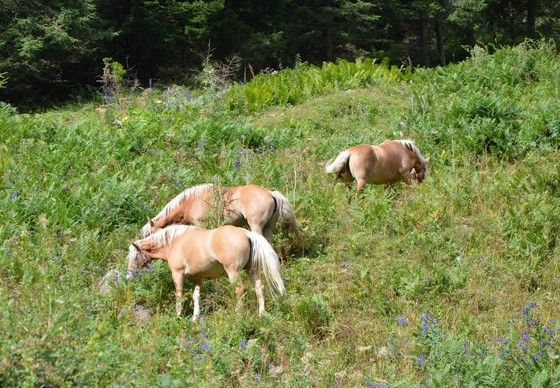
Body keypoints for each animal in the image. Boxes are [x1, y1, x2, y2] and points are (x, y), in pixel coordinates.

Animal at [125, 223, 286, 320]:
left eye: (134, 256)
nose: (128, 275)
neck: (174, 242)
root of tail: (246, 234)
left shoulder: (177, 274)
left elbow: (179, 295)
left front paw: (178, 316)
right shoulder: (198, 278)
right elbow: (196, 296)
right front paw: (195, 317)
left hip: (233, 272)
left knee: (240, 290)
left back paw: (238, 313)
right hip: (252, 270)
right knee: (260, 288)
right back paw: (261, 313)